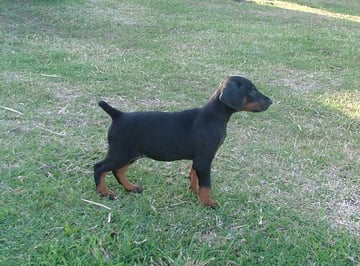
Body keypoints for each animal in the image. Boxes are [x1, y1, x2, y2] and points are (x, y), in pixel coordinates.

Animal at [94, 75, 272, 208]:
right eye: (252, 90)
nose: (270, 101)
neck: (213, 116)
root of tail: (118, 115)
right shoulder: (204, 158)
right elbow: (206, 184)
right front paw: (208, 202)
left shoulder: (199, 158)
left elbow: (193, 173)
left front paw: (194, 190)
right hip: (121, 152)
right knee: (100, 167)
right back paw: (104, 192)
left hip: (131, 153)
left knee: (118, 171)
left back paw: (131, 187)